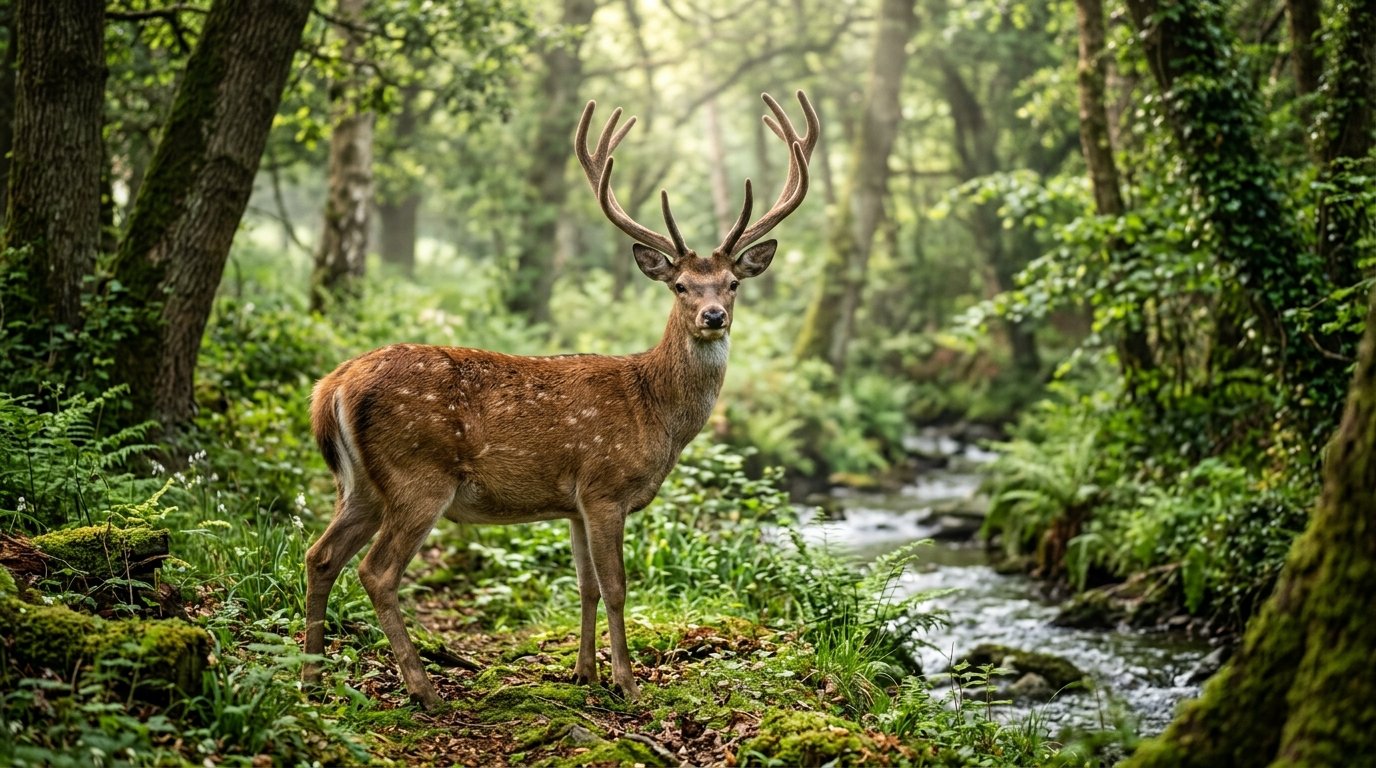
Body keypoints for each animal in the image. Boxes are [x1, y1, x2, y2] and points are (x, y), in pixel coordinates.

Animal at [301, 91, 818, 709]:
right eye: (681, 287)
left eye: (733, 284)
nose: (713, 316)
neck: (656, 410)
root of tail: (331, 387)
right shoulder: (604, 485)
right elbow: (617, 587)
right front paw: (626, 683)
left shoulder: (572, 503)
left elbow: (585, 586)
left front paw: (583, 673)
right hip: (416, 474)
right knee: (376, 571)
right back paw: (424, 689)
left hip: (359, 483)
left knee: (320, 555)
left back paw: (309, 676)